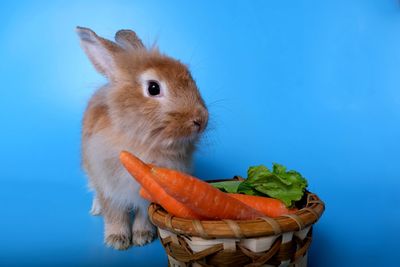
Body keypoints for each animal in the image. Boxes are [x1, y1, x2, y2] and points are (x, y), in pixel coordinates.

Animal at [76, 26, 211, 250]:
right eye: (153, 88)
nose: (201, 120)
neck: (143, 142)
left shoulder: (150, 193)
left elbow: (143, 216)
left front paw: (142, 237)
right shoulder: (109, 185)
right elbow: (115, 214)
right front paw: (117, 240)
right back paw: (96, 209)